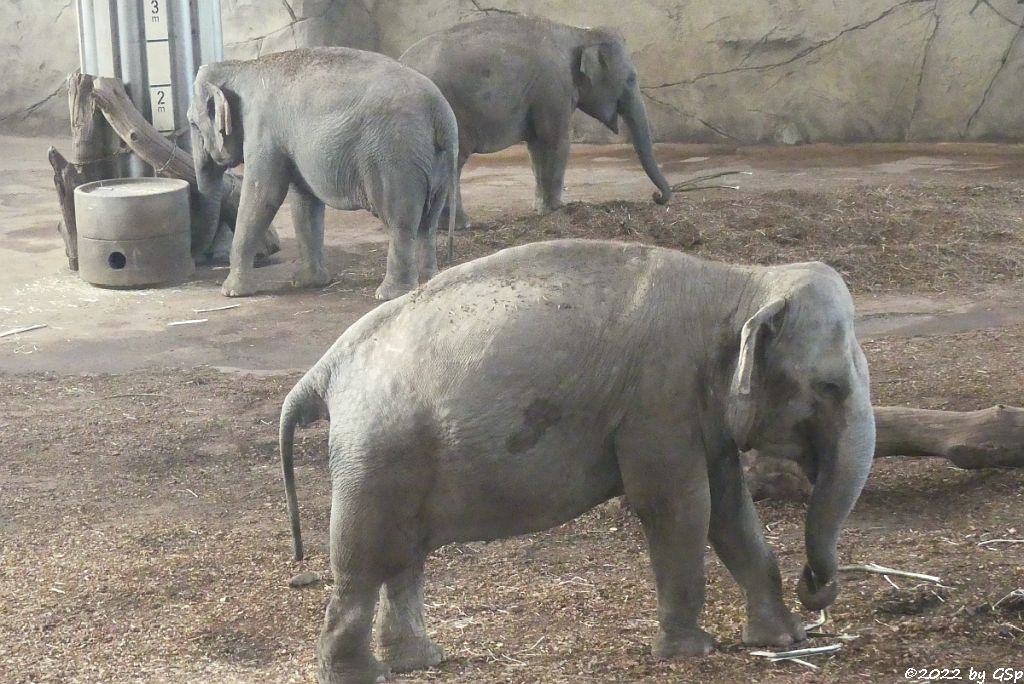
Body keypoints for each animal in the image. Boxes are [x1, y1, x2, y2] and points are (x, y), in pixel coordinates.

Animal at [280, 237, 872, 679]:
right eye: (829, 387)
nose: (815, 585)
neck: (743, 281)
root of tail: (326, 367)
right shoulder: (659, 396)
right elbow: (678, 507)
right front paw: (692, 651)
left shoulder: (697, 412)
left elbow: (731, 510)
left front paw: (785, 638)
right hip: (374, 455)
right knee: (363, 559)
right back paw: (359, 674)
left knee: (404, 556)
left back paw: (421, 661)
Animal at [401, 14, 679, 228]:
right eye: (631, 79)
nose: (656, 197)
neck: (580, 32)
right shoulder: (554, 87)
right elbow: (556, 140)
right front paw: (556, 208)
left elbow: (536, 146)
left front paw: (540, 209)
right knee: (452, 161)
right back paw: (460, 225)